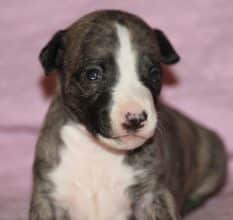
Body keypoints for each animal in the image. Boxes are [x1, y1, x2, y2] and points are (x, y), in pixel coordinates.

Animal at [29, 9, 228, 220]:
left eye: (154, 73)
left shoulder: (152, 196)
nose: (135, 118)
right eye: (92, 75)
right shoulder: (46, 197)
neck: (97, 153)